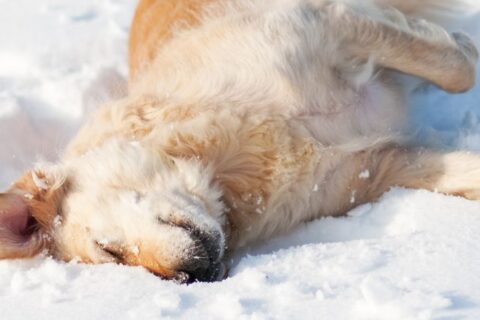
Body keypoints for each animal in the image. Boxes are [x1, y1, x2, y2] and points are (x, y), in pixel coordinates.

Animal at [0, 0, 480, 282]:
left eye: (110, 250)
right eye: (119, 263)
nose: (191, 276)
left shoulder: (320, 24)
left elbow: (457, 68)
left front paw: (465, 46)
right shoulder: (374, 169)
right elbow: (455, 172)